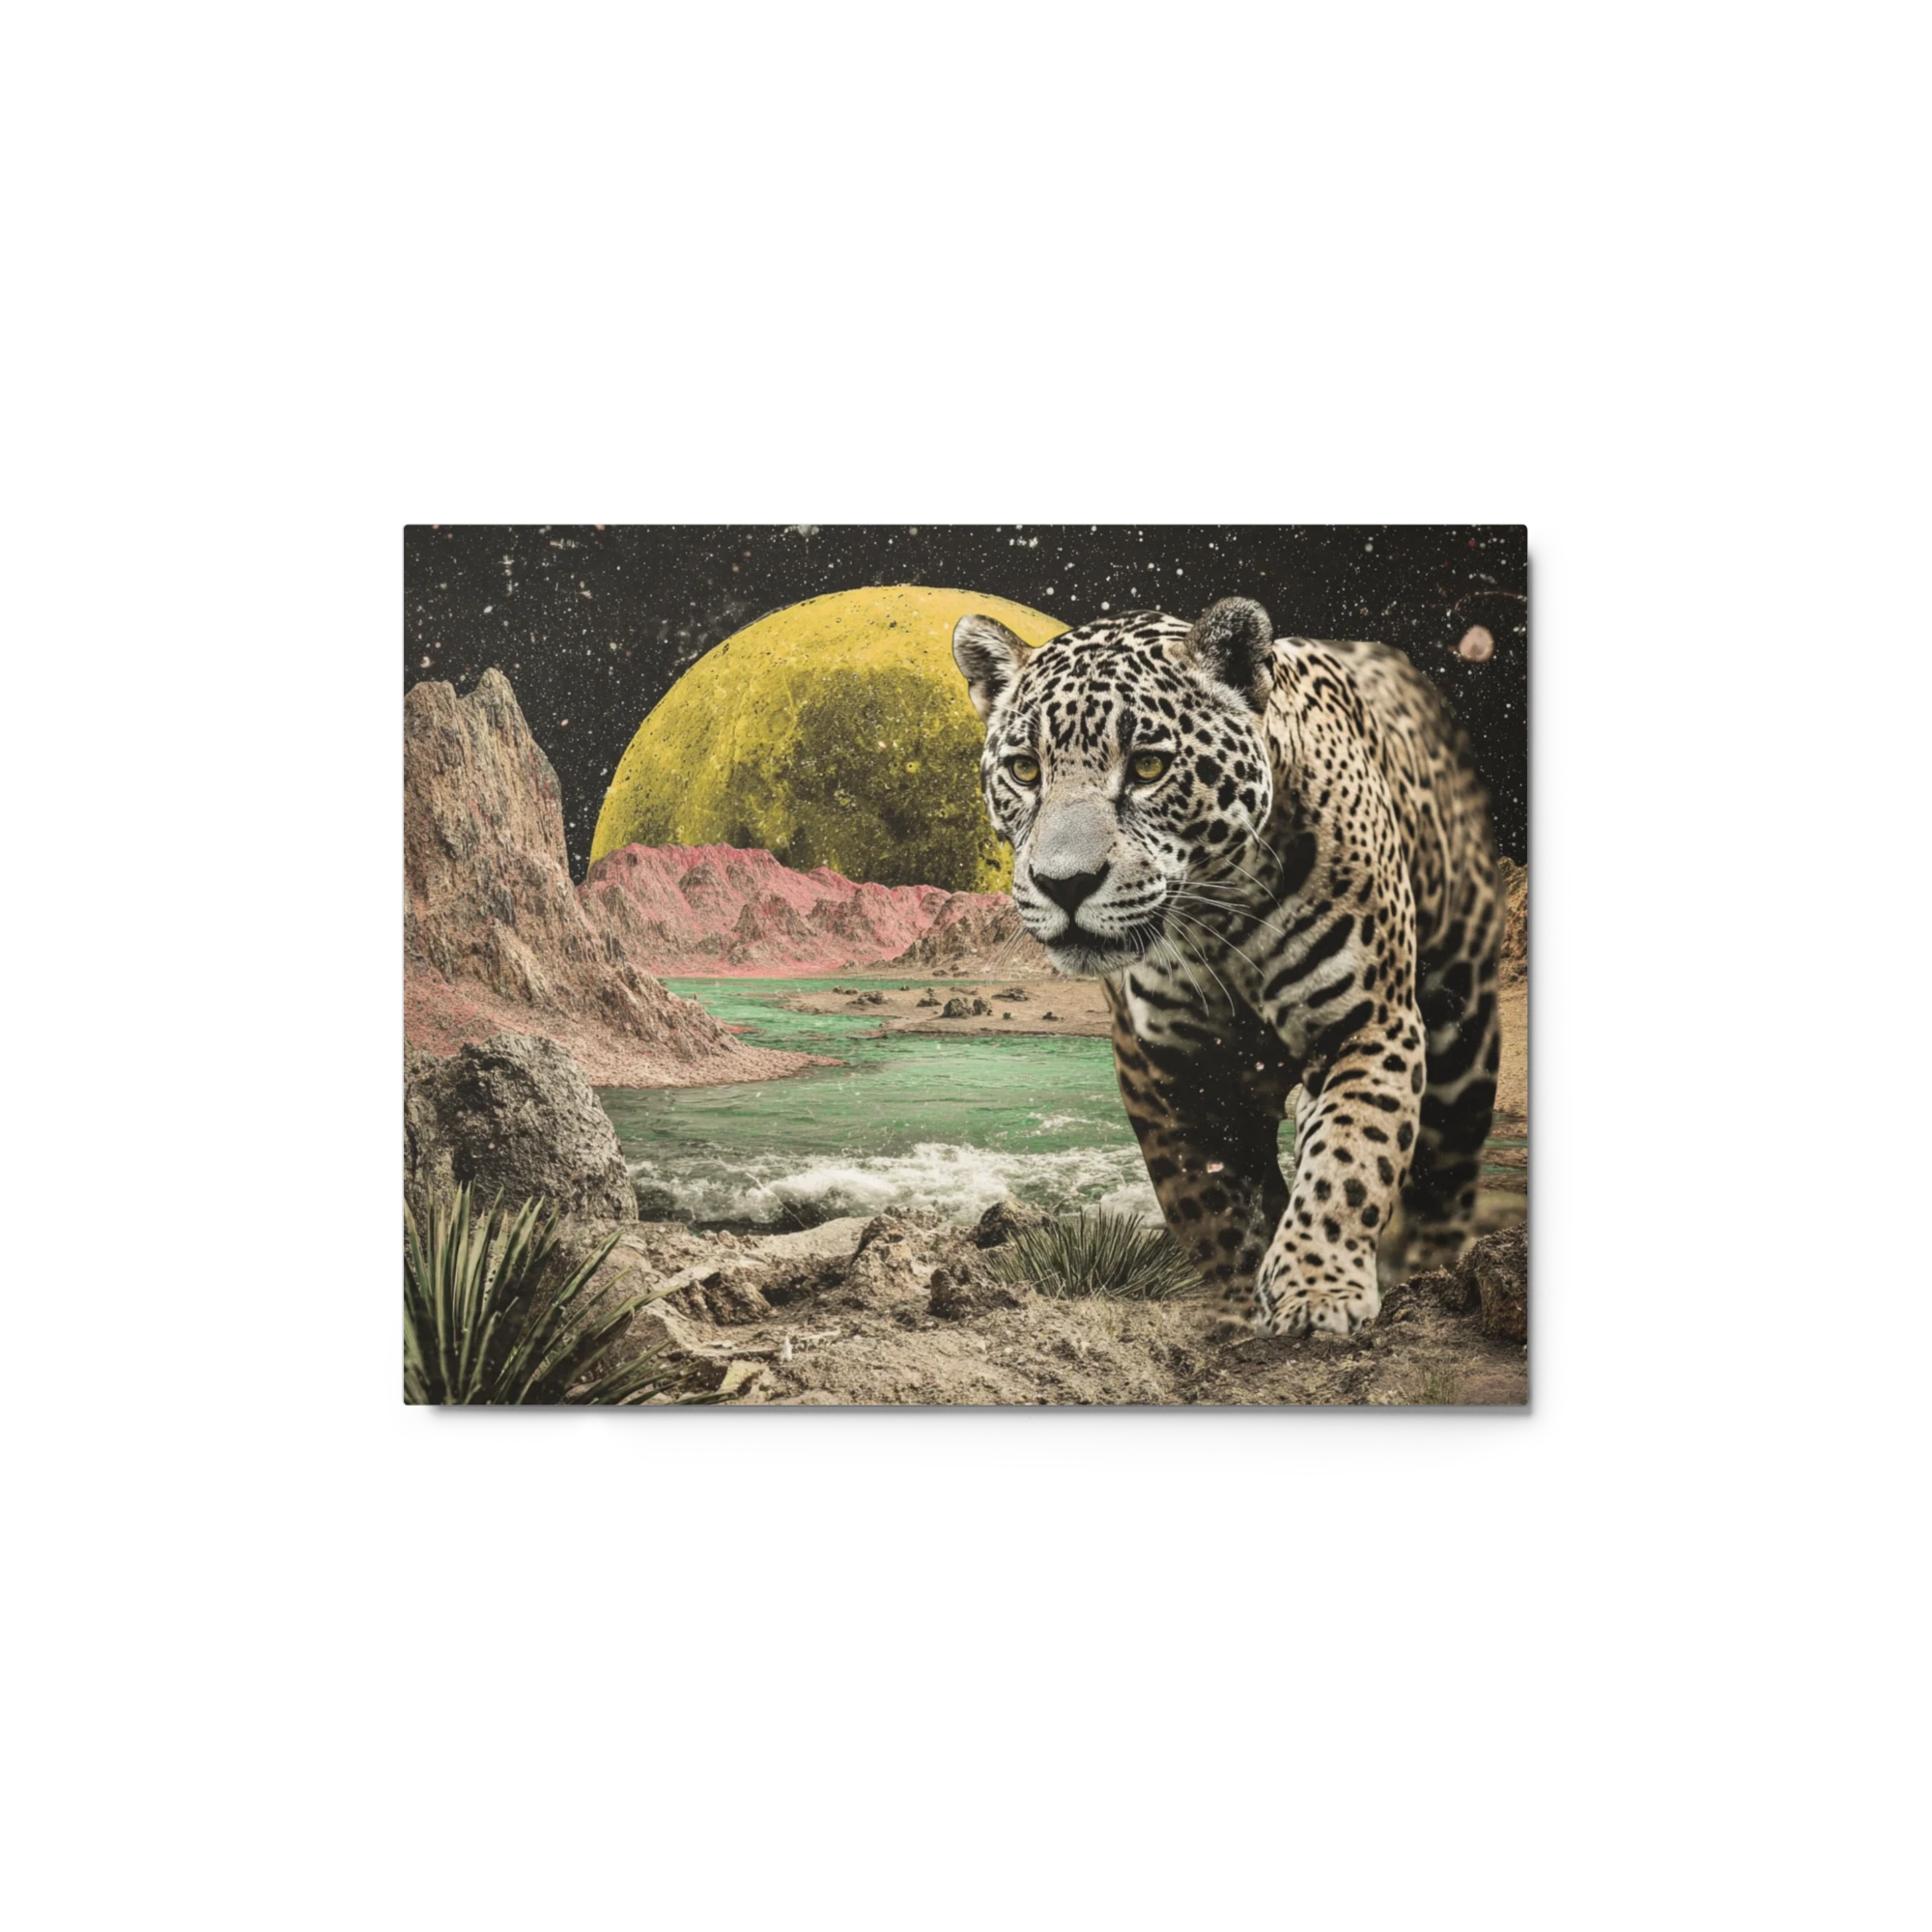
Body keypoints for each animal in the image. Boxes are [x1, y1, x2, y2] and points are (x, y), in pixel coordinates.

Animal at [952, 596, 1503, 1338]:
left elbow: (1349, 1156)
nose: (1064, 884)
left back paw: (1430, 1266)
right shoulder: (1170, 1064)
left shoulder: (1369, 1022)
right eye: (1025, 770)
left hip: (1462, 1017)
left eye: (1148, 767)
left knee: (1446, 1157)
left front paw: (1317, 1290)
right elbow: (1213, 1200)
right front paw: (1243, 1301)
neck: (1219, 930)